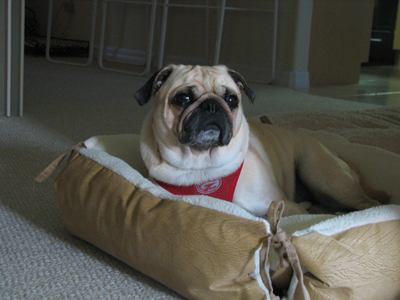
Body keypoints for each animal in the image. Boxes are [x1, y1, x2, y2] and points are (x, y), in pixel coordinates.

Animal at [134, 64, 388, 217]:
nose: (212, 106)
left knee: (370, 204)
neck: (201, 164)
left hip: (322, 176)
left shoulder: (287, 208)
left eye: (231, 99)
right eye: (183, 98)